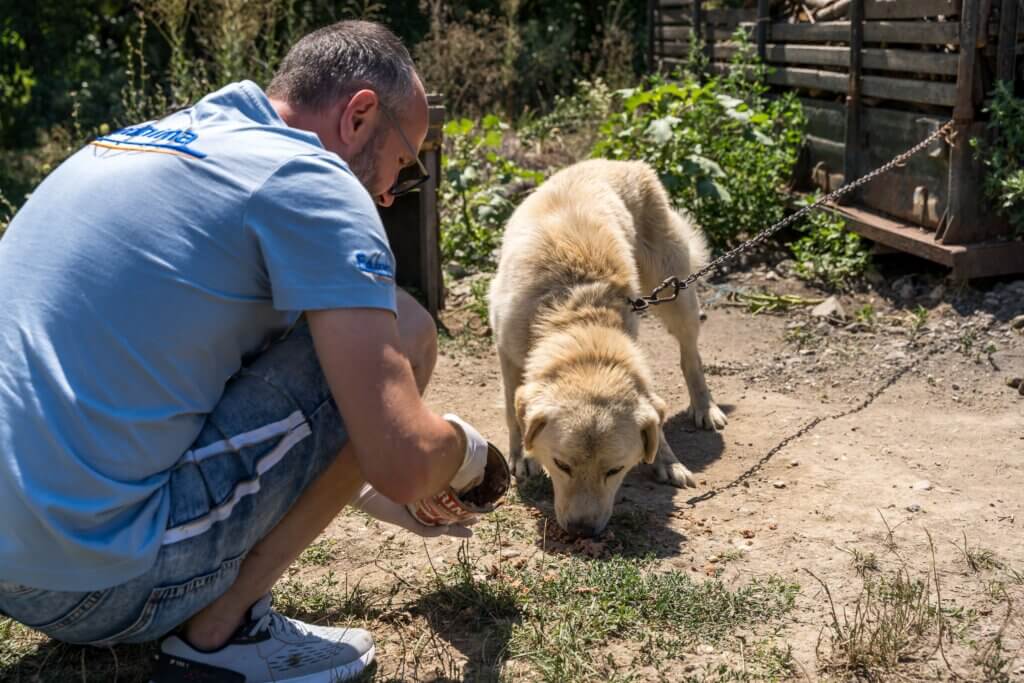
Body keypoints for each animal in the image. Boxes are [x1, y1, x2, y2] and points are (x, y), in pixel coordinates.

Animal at [489, 157, 724, 536]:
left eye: (614, 470)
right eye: (561, 464)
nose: (582, 530)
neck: (576, 314)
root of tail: (624, 162)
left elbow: (655, 420)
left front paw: (667, 460)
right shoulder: (506, 354)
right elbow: (513, 412)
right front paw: (521, 456)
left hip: (675, 295)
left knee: (691, 358)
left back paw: (705, 407)